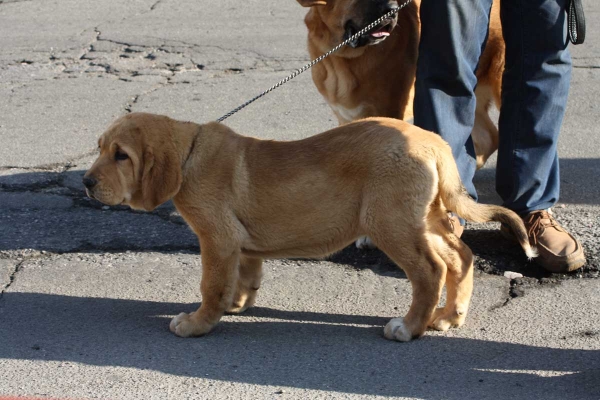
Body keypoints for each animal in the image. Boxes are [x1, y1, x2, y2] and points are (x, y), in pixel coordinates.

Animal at [83, 111, 536, 340]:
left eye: (122, 156)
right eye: (100, 148)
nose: (86, 183)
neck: (190, 154)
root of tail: (433, 141)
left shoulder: (217, 238)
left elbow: (210, 284)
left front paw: (198, 323)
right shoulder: (239, 243)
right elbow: (244, 274)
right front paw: (236, 303)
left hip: (390, 221)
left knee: (431, 270)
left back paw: (410, 328)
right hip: (421, 218)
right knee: (461, 256)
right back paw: (448, 317)